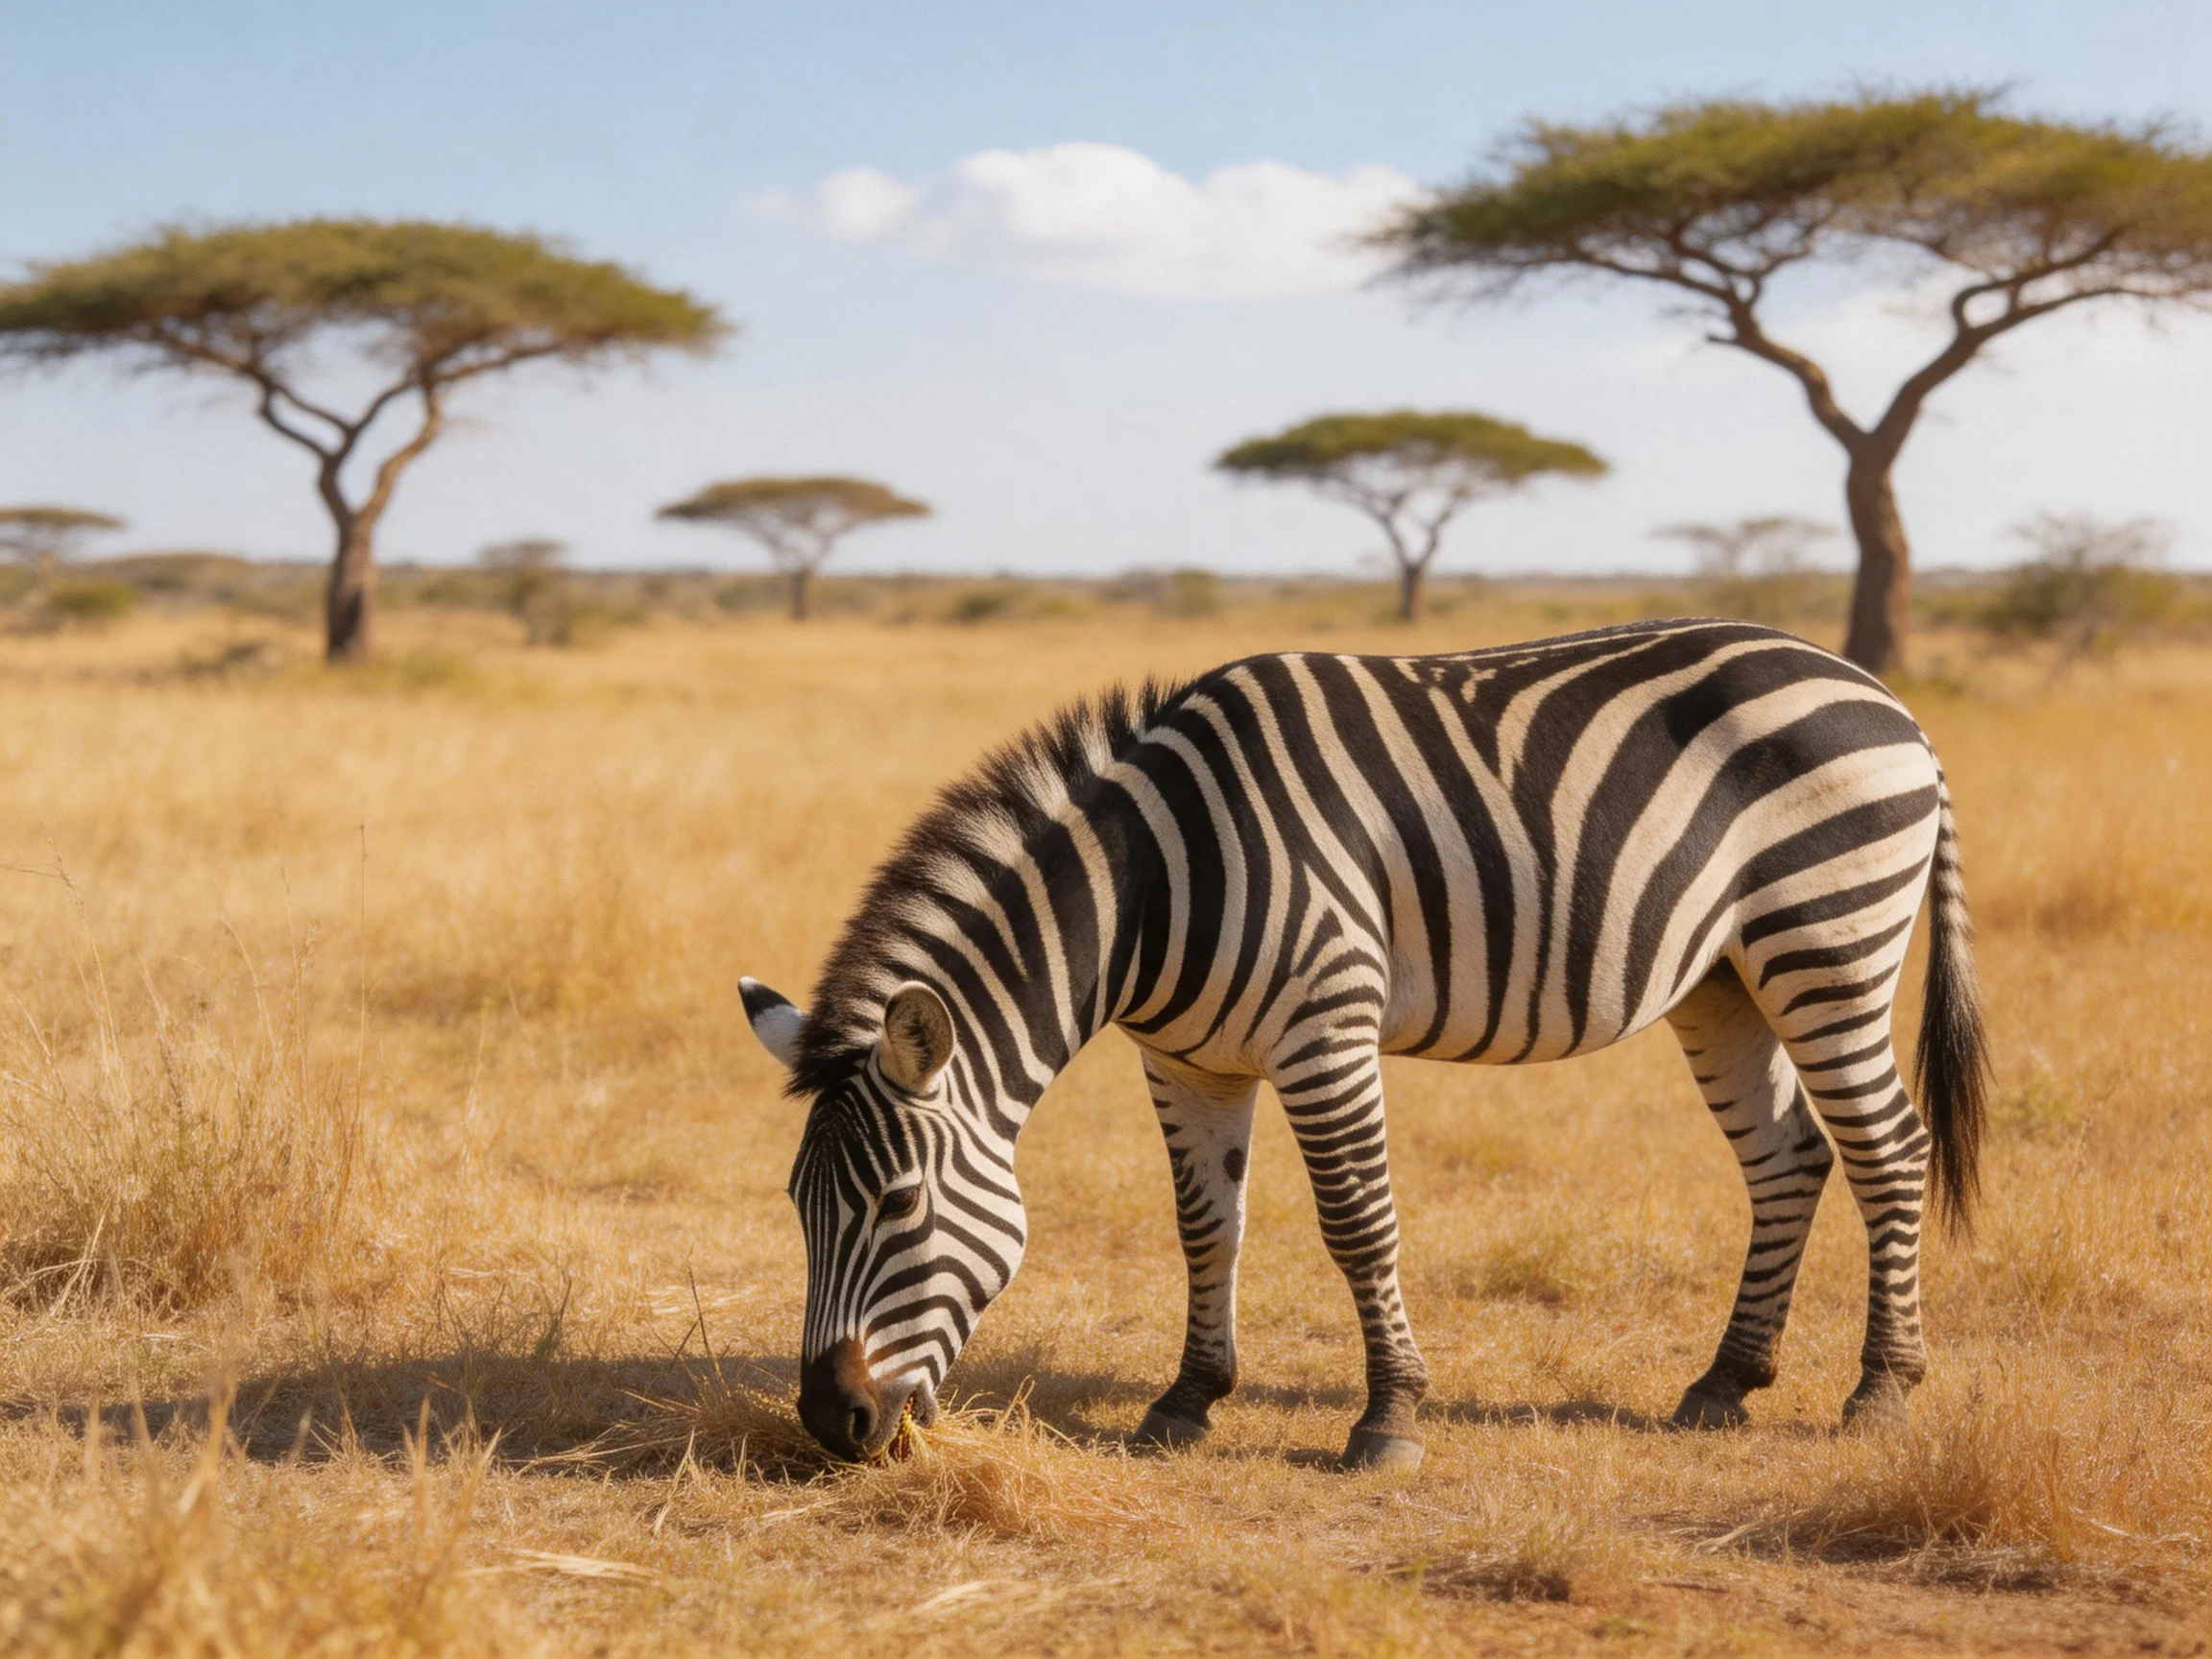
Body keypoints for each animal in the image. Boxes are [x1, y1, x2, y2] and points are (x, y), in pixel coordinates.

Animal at [741, 619, 1989, 1469]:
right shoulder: (1185, 1059)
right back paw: (1727, 1382)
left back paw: (1882, 1393)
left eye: (898, 1204)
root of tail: (1888, 701)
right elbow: (1207, 1229)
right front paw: (1187, 1401)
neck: (1153, 889)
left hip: (1827, 937)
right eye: (800, 1209)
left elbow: (1356, 1224)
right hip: (1725, 978)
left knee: (1888, 1148)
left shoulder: (1325, 1027)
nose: (830, 1423)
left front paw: (1389, 1418)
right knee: (1789, 1158)